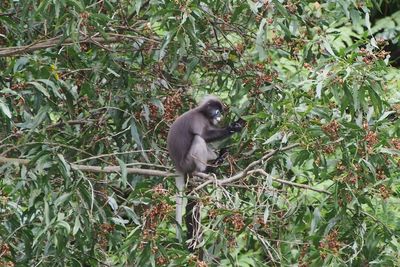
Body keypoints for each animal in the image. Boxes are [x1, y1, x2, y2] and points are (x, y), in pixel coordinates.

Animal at [166, 96, 244, 253]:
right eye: (216, 111)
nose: (219, 115)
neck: (202, 113)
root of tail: (177, 165)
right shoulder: (198, 120)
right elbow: (203, 135)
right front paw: (232, 127)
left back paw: (218, 159)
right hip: (188, 162)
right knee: (199, 139)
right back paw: (206, 169)